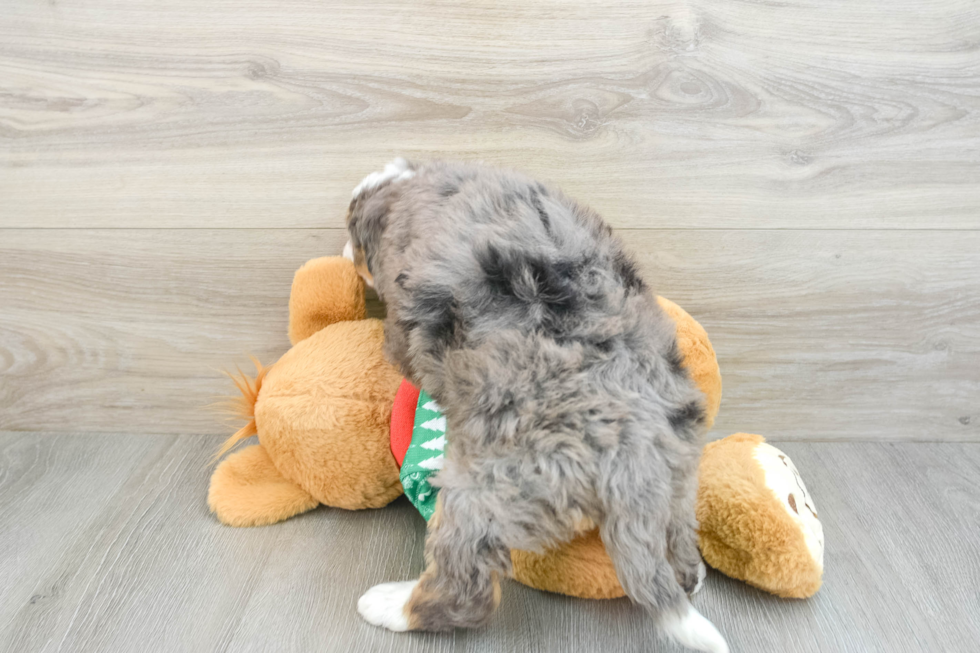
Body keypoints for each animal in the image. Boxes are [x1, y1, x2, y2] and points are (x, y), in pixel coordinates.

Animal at [346, 159, 728, 652]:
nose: (344, 251)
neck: (415, 185)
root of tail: (632, 456)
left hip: (487, 487)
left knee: (465, 587)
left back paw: (390, 604)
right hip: (680, 470)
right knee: (678, 530)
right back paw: (689, 573)